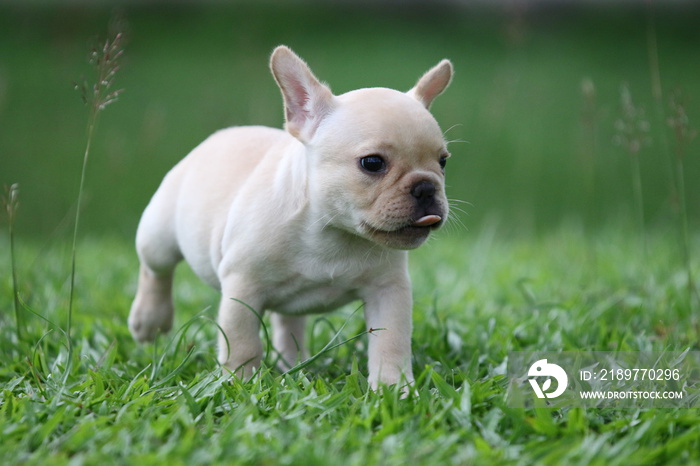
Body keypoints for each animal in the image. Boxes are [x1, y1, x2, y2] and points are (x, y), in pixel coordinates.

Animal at [128, 46, 452, 390]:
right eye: (373, 163)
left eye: (443, 161)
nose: (426, 187)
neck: (332, 232)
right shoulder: (242, 288)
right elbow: (242, 342)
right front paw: (240, 382)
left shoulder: (388, 291)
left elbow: (391, 342)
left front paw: (394, 389)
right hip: (159, 235)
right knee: (155, 269)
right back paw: (149, 319)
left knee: (288, 324)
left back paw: (292, 366)